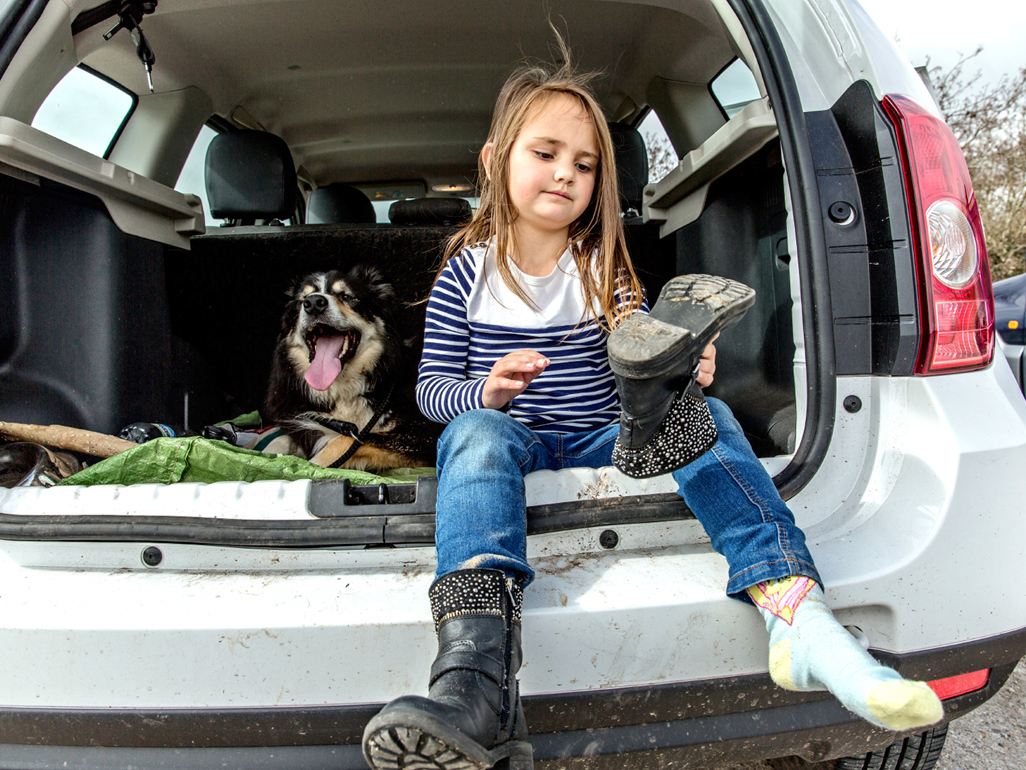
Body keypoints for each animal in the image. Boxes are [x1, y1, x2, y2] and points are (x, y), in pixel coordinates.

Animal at [256, 264, 441, 474]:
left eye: (346, 296)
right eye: (303, 299)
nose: (314, 303)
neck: (343, 392)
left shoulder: (422, 435)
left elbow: (343, 442)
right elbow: (279, 441)